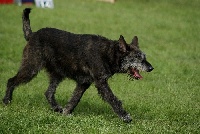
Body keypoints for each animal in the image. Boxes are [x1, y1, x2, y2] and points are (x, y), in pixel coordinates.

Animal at [2, 8, 153, 123]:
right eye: (138, 58)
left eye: (144, 57)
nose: (151, 68)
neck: (108, 53)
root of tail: (32, 35)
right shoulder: (101, 83)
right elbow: (113, 99)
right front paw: (125, 116)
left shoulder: (83, 83)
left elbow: (74, 99)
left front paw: (65, 112)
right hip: (31, 68)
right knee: (11, 81)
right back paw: (6, 100)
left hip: (57, 75)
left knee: (48, 93)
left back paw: (56, 108)